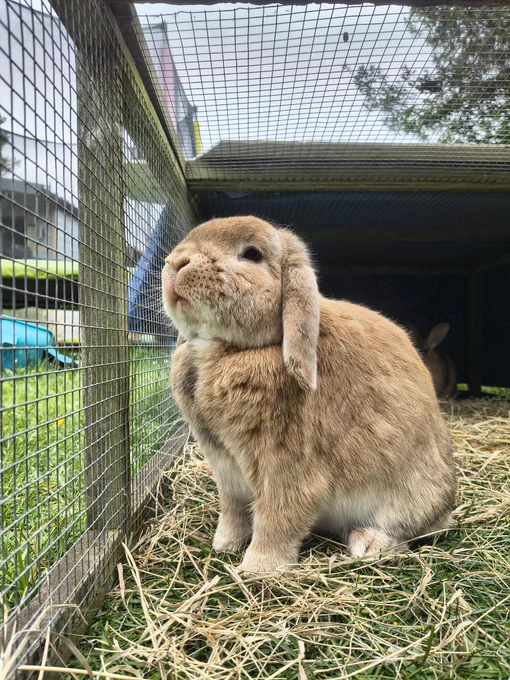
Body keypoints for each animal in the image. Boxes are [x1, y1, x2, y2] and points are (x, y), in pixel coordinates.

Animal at [162, 216, 457, 573]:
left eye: (252, 254)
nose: (177, 262)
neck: (225, 349)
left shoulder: (286, 468)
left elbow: (279, 517)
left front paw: (257, 568)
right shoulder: (227, 472)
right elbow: (233, 511)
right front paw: (225, 546)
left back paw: (369, 544)